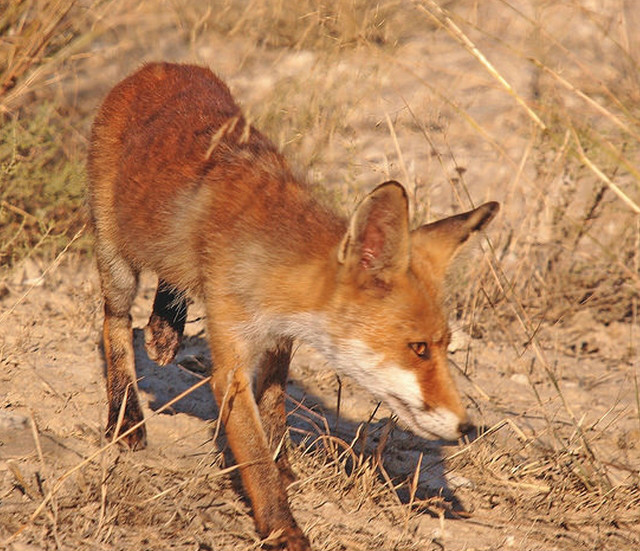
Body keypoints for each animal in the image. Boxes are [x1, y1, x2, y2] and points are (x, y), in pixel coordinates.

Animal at [87, 62, 500, 548]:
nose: (467, 427)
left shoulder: (280, 339)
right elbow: (254, 455)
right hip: (116, 260)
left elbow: (274, 408)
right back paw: (125, 416)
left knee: (171, 281)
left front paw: (283, 466)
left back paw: (165, 330)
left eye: (444, 346)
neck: (270, 254)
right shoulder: (232, 358)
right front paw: (282, 525)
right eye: (418, 349)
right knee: (114, 326)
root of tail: (158, 67)